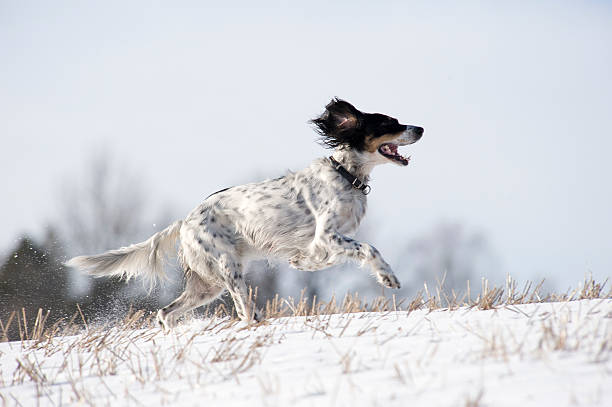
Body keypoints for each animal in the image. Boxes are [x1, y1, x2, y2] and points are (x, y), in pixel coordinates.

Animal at [65, 99, 420, 332]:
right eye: (390, 123)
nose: (421, 127)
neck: (346, 175)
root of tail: (185, 221)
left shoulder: (324, 242)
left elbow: (320, 259)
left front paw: (302, 263)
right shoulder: (327, 234)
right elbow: (369, 248)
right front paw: (388, 276)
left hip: (208, 285)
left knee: (166, 312)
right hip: (227, 269)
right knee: (244, 311)